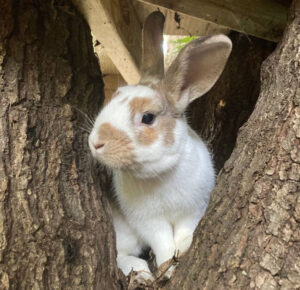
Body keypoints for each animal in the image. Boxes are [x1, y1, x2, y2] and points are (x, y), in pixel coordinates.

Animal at [88, 11, 232, 284]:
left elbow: (185, 233)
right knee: (121, 255)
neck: (162, 173)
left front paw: (182, 253)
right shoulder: (148, 221)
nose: (95, 143)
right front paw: (167, 268)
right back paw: (142, 272)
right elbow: (163, 242)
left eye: (148, 117)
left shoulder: (195, 208)